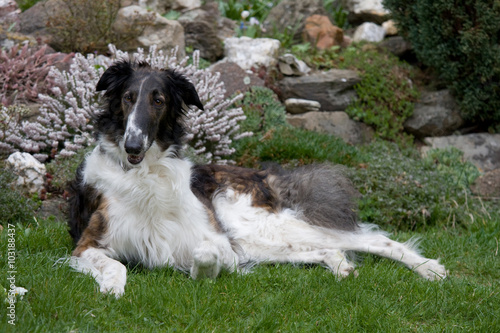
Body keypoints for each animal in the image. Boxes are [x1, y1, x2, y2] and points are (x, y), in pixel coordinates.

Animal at [66, 61, 446, 296]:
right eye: (128, 98)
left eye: (158, 100)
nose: (132, 145)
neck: (144, 176)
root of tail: (266, 173)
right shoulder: (88, 244)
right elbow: (116, 267)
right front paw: (111, 287)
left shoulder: (220, 243)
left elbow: (207, 255)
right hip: (259, 240)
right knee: (329, 248)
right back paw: (341, 266)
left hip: (257, 226)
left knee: (373, 238)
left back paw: (430, 268)